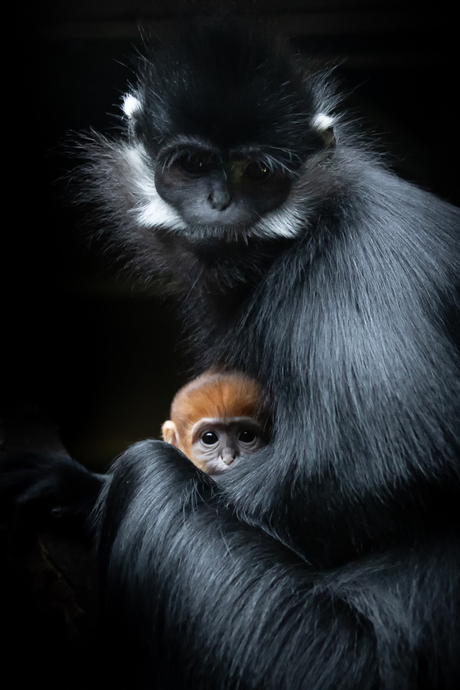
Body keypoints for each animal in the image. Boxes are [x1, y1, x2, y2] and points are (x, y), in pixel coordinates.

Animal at [0, 18, 460, 684]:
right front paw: (73, 486)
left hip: (298, 651)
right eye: (191, 165)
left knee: (151, 475)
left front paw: (94, 496)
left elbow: (391, 456)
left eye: (257, 173)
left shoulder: (363, 261)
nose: (220, 204)